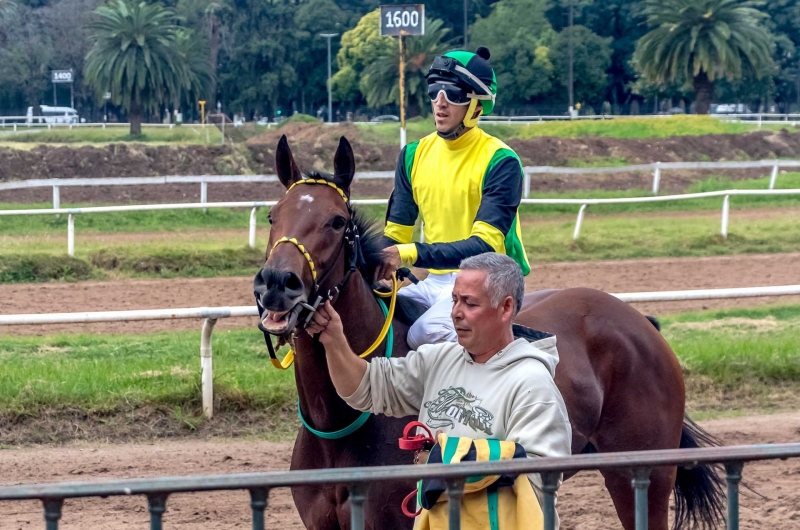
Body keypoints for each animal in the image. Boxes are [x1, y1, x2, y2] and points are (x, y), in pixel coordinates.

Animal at [256, 133, 724, 528]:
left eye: (337, 221)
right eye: (272, 215)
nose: (276, 283)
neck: (340, 423)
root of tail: (640, 322)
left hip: (641, 475)